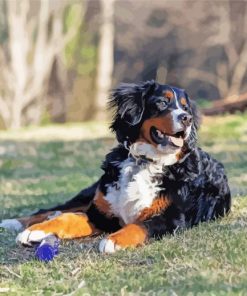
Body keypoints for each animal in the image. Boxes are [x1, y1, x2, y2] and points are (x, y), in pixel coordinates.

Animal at [0, 81, 232, 254]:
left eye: (185, 107)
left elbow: (140, 225)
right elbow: (70, 218)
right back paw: (15, 222)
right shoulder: (101, 214)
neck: (144, 162)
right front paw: (35, 231)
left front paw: (114, 240)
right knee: (54, 209)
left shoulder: (172, 219)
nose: (187, 118)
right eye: (162, 102)